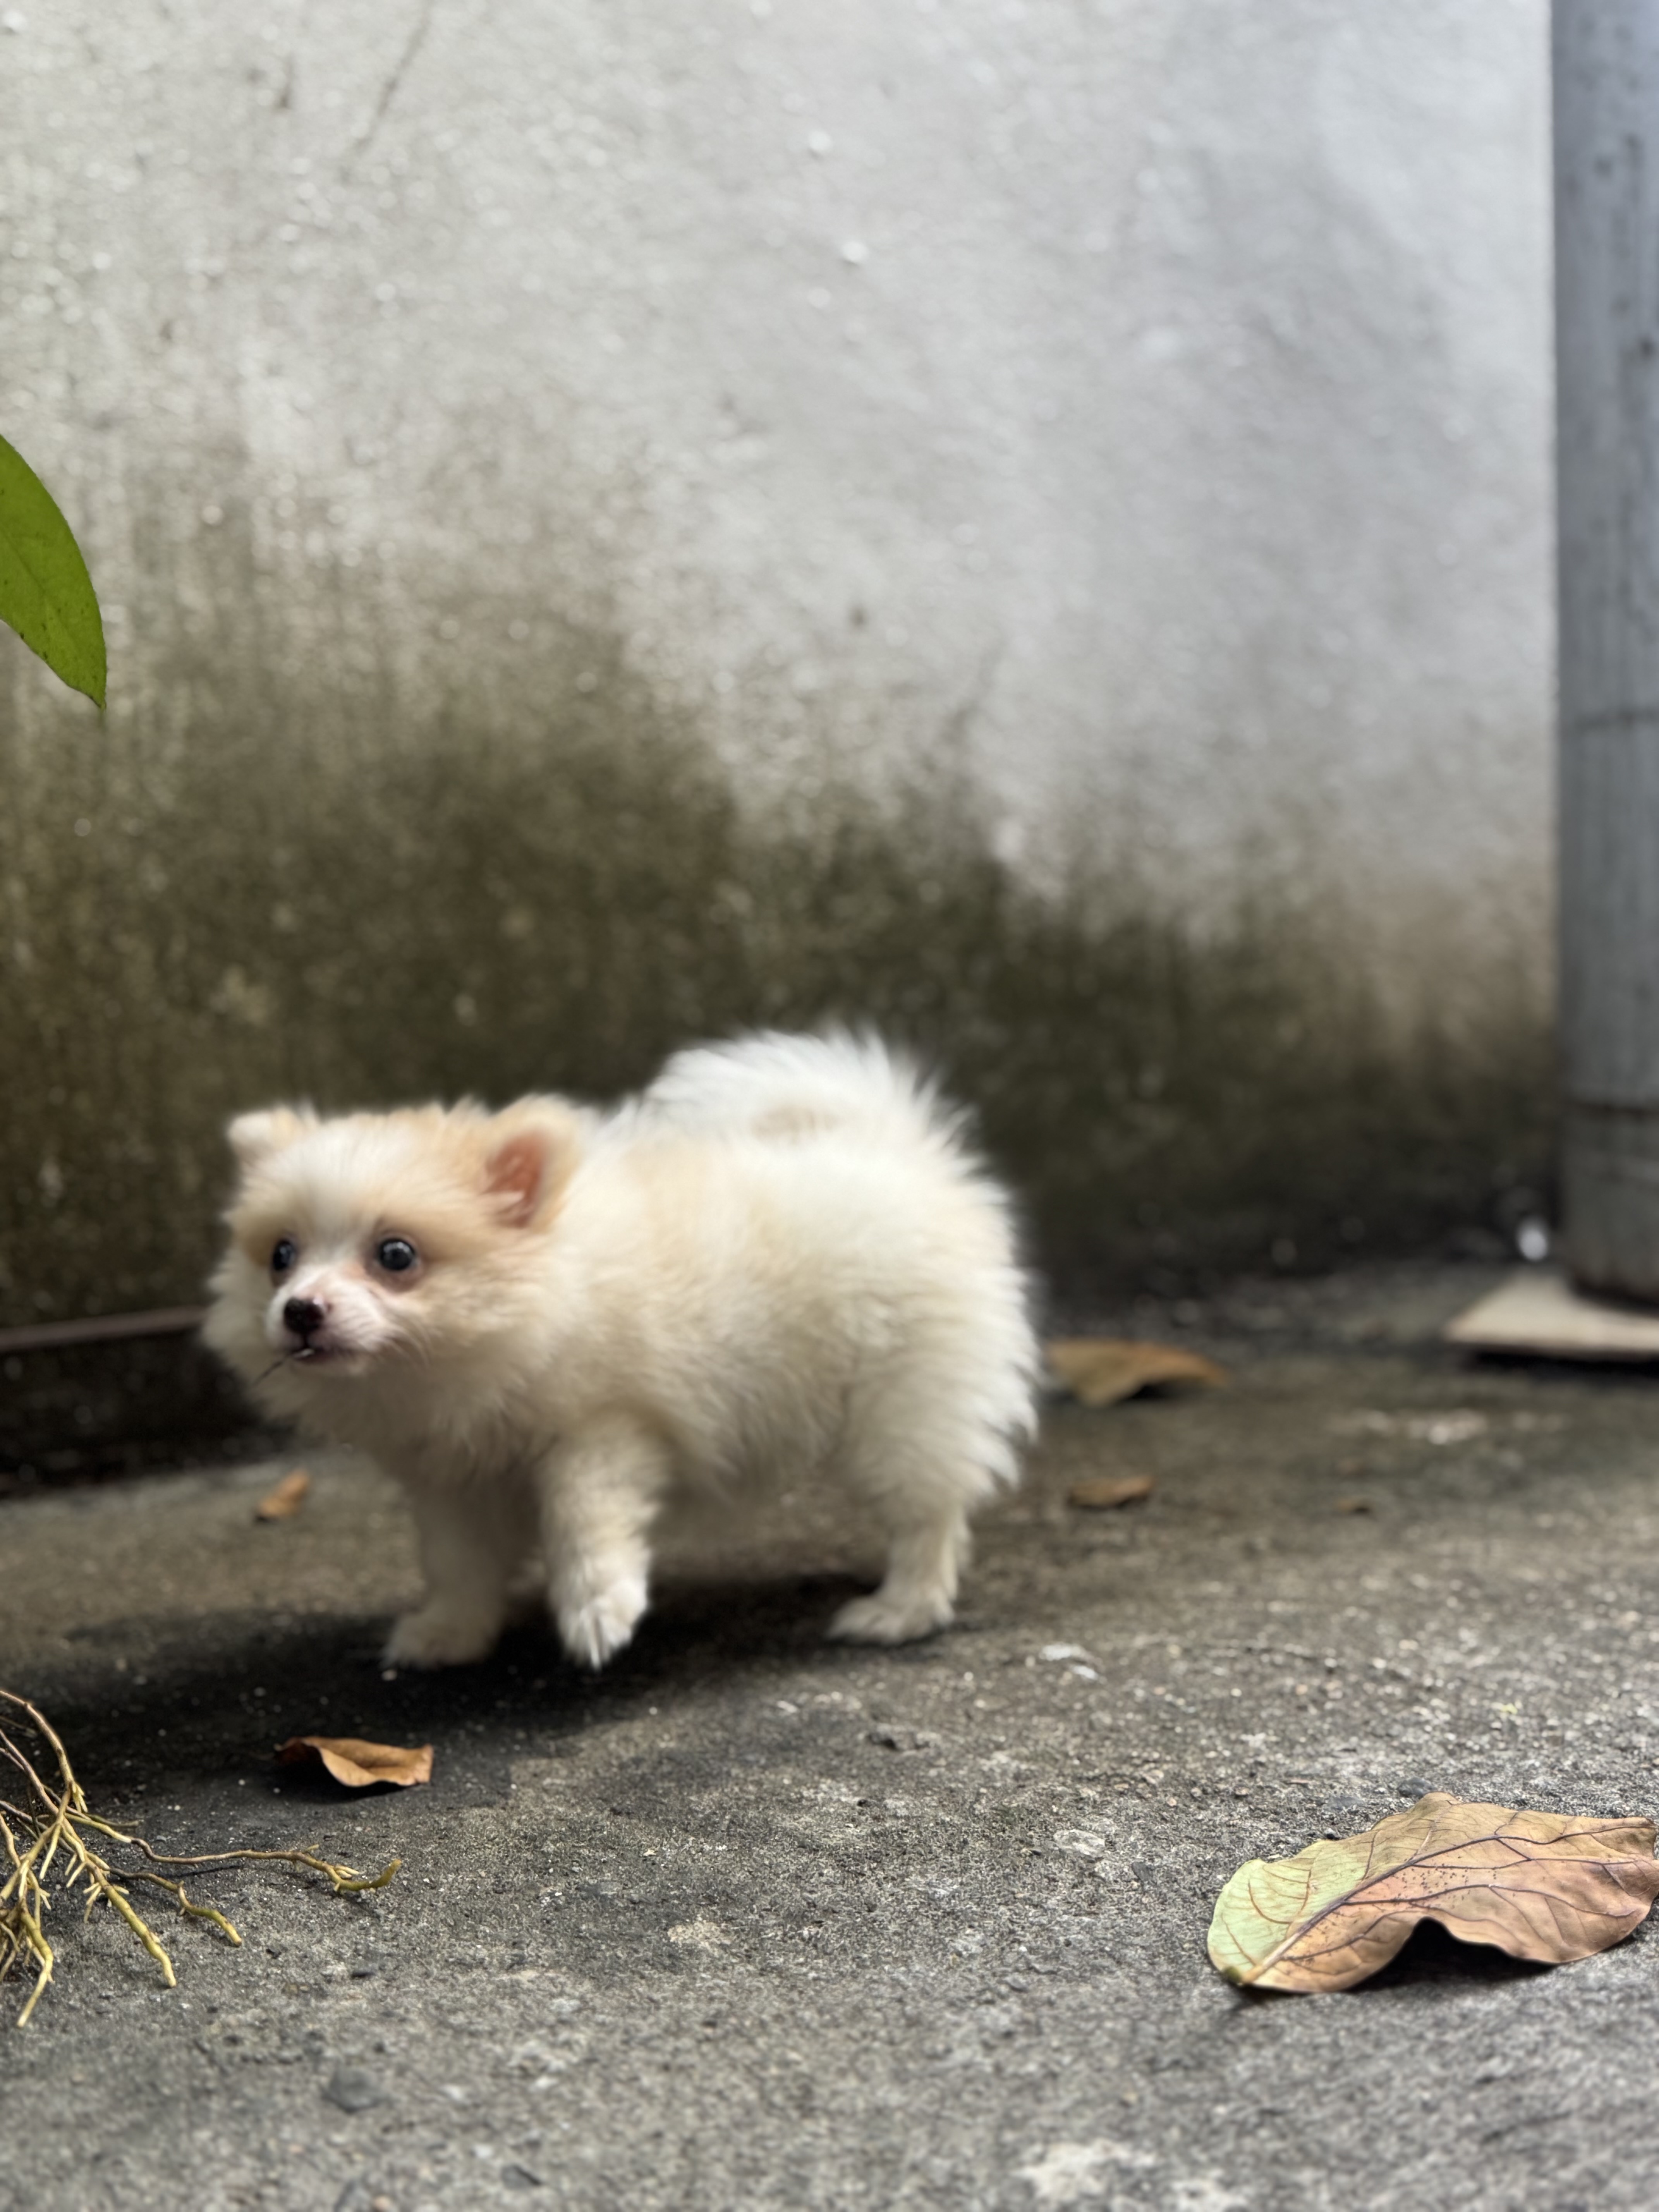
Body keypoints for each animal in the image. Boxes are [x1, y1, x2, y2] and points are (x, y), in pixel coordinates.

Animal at [208, 1026, 1039, 1663]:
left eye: (396, 1255)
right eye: (281, 1255)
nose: (300, 1309)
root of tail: (900, 1149)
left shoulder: (604, 1429)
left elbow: (581, 1514)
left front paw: (597, 1609)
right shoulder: (454, 1479)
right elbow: (457, 1563)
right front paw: (449, 1633)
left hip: (899, 1402)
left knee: (927, 1511)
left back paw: (899, 1610)